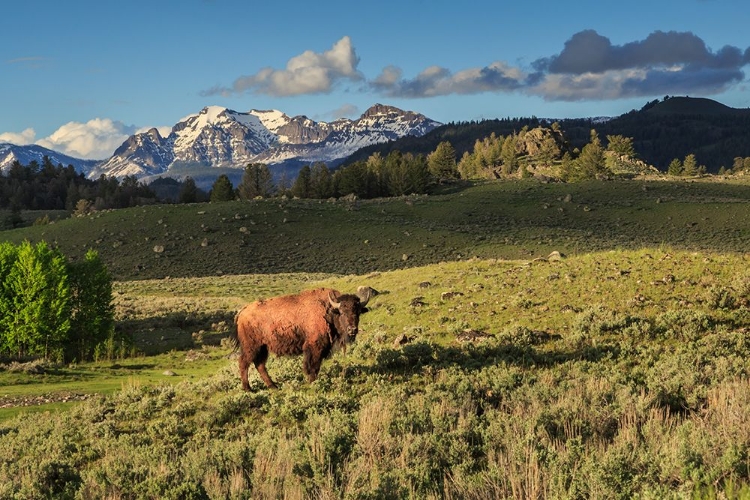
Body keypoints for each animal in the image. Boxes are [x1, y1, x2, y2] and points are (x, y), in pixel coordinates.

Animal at [235, 286, 374, 390]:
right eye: (342, 312)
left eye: (358, 312)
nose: (352, 330)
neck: (328, 310)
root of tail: (243, 311)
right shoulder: (314, 347)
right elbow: (313, 365)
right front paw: (312, 382)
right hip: (252, 346)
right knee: (244, 362)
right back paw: (248, 389)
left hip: (263, 347)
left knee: (260, 365)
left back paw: (273, 386)